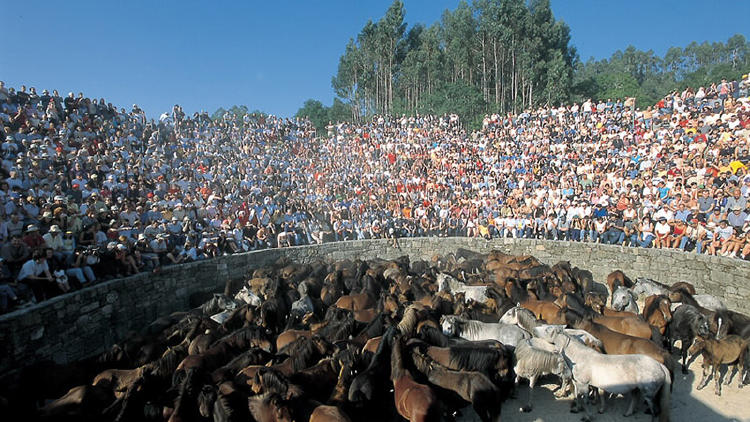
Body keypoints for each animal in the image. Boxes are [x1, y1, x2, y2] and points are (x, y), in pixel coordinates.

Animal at [536, 328, 672, 420]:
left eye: (547, 329)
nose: (534, 330)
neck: (580, 357)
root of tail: (660, 365)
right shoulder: (577, 383)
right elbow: (578, 396)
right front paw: (577, 409)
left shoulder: (584, 384)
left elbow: (585, 400)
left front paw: (588, 417)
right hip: (636, 388)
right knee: (635, 398)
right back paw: (627, 413)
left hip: (649, 394)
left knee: (655, 411)